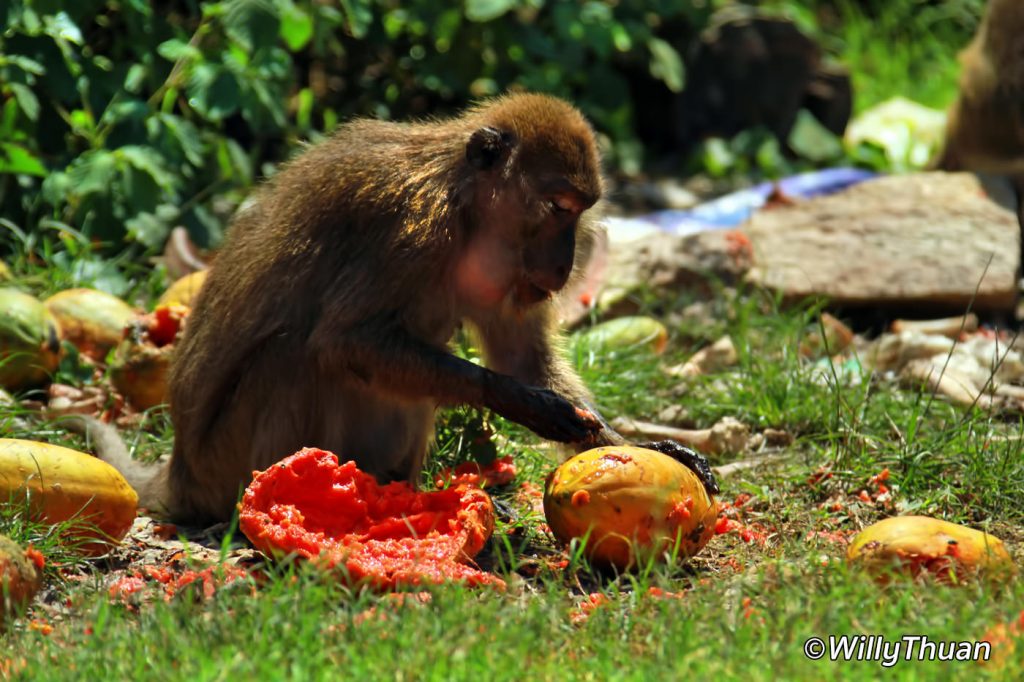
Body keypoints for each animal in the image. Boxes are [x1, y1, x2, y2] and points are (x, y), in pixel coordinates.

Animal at [75, 93, 716, 522]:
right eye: (558, 207)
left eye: (580, 212)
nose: (563, 265)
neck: (465, 206)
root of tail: (182, 471)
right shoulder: (409, 230)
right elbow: (345, 339)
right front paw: (524, 403)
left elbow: (521, 357)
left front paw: (634, 443)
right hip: (225, 459)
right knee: (296, 356)